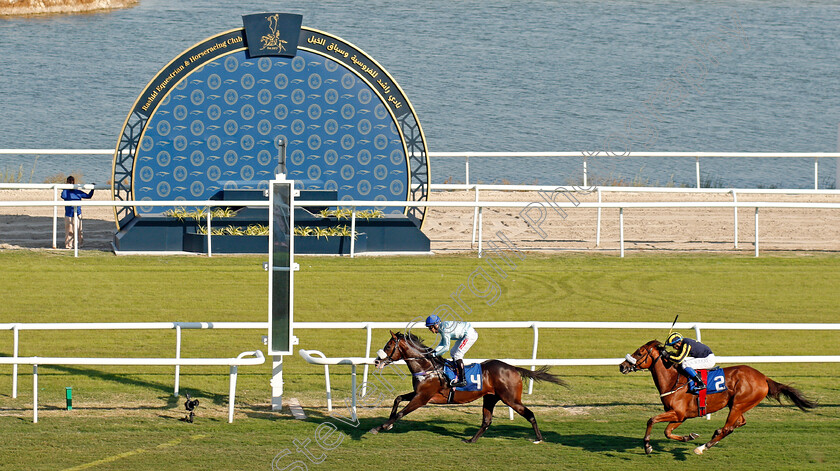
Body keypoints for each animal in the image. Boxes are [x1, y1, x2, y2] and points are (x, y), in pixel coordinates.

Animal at [368, 330, 564, 444]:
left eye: (388, 346)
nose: (376, 361)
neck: (428, 367)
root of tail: (513, 368)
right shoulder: (418, 393)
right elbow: (398, 398)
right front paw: (386, 425)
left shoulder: (422, 398)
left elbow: (401, 413)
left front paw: (380, 427)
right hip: (490, 398)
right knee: (486, 421)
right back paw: (471, 440)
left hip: (511, 399)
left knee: (529, 414)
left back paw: (539, 438)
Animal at [620, 342, 816, 456]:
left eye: (639, 353)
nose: (622, 366)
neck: (673, 380)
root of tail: (763, 377)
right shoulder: (681, 416)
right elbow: (667, 432)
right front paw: (688, 436)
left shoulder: (677, 413)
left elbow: (651, 420)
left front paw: (647, 446)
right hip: (737, 405)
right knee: (739, 423)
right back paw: (711, 437)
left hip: (739, 404)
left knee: (728, 427)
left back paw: (703, 447)